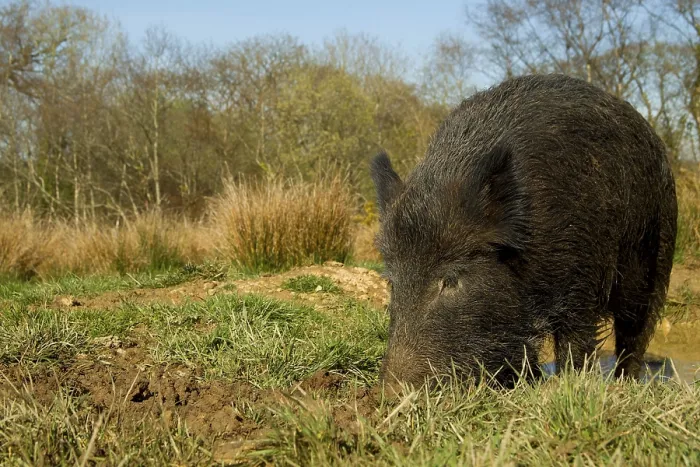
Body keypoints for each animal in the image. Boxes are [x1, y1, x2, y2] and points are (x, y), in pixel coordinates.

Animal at [371, 74, 677, 387]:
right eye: (392, 281)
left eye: (451, 280)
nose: (388, 391)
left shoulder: (584, 275)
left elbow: (575, 341)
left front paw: (567, 384)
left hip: (657, 255)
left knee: (636, 331)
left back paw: (624, 383)